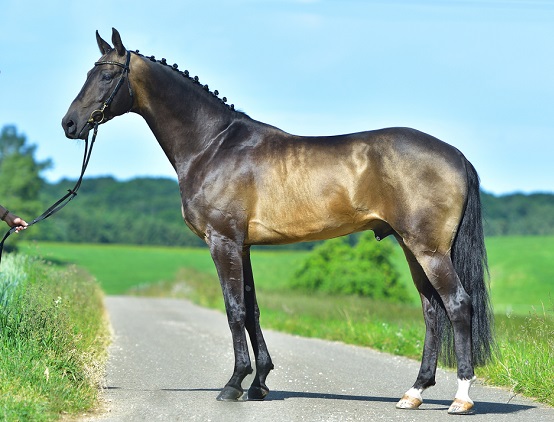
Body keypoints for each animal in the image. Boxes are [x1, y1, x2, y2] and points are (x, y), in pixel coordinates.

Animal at [62, 28, 494, 416]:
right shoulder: (244, 246)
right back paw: (413, 393)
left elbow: (234, 309)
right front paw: (259, 383)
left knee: (458, 305)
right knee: (432, 312)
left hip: (428, 249)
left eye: (106, 76)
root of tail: (456, 155)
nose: (69, 124)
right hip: (410, 246)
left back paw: (461, 398)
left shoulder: (223, 242)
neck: (213, 145)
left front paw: (234, 384)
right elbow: (252, 309)